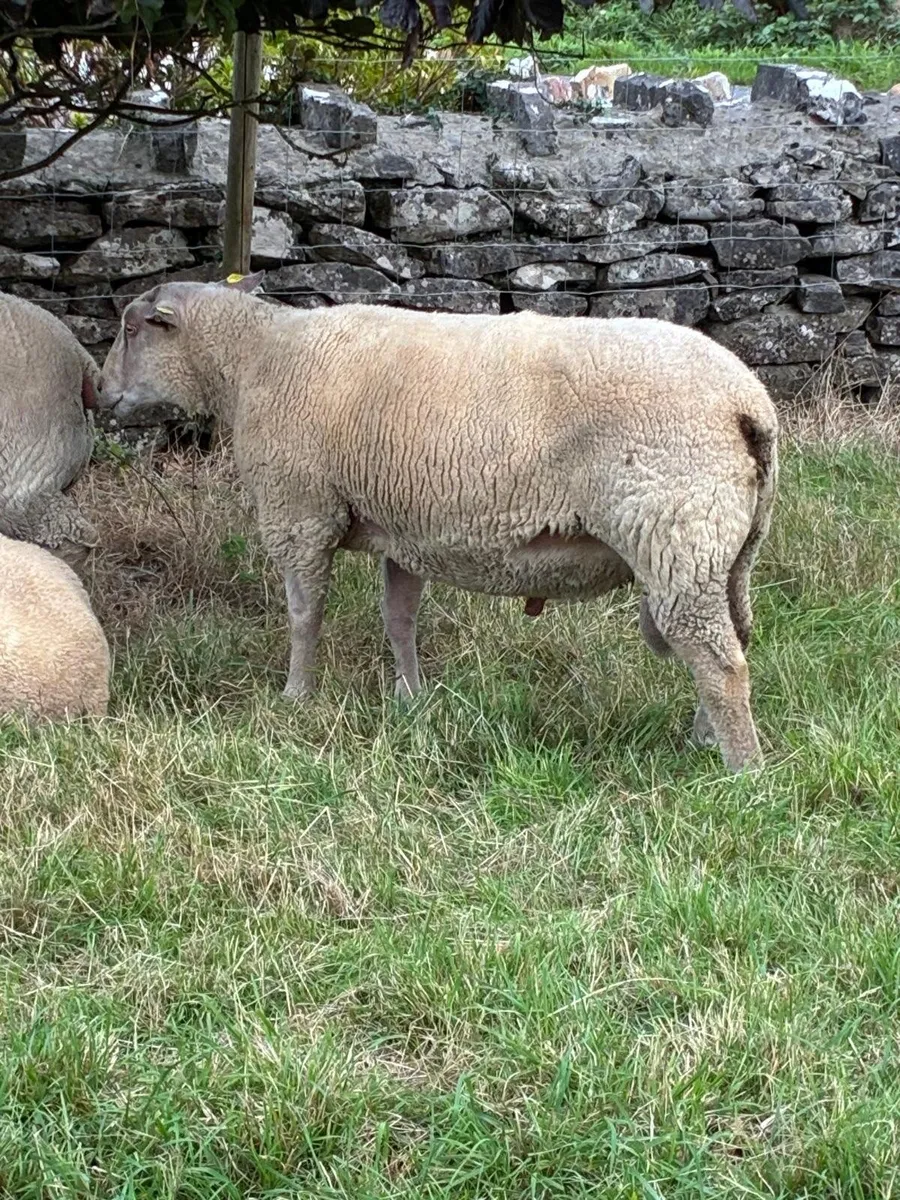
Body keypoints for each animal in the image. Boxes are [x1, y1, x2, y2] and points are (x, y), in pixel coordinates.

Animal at [100, 274, 778, 772]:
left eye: (132, 328)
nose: (97, 392)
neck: (251, 362)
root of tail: (748, 402)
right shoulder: (403, 531)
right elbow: (398, 618)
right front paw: (411, 698)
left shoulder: (301, 514)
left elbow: (303, 615)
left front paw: (296, 697)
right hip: (727, 547)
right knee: (731, 639)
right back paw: (705, 739)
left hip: (676, 530)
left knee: (717, 659)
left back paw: (743, 773)